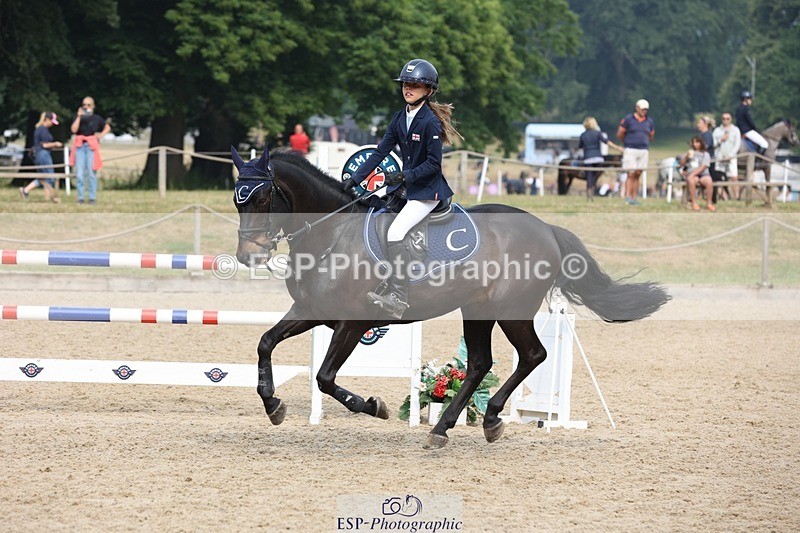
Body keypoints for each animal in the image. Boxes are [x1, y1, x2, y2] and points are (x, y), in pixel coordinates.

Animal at [232, 147, 670, 449]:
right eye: (237, 200)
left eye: (262, 198)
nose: (248, 256)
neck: (332, 234)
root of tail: (545, 227)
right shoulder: (310, 310)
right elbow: (265, 342)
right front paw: (272, 405)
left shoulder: (352, 323)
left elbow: (324, 377)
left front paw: (374, 406)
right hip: (476, 310)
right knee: (479, 364)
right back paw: (444, 428)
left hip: (509, 311)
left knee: (532, 355)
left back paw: (489, 419)